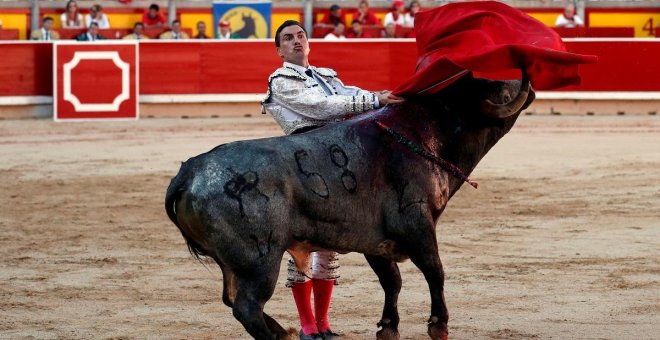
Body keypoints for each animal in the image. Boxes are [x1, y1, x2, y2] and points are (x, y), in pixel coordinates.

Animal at [166, 72, 536, 340]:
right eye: (499, 90)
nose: (528, 85)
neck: (425, 133)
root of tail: (190, 170)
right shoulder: (416, 223)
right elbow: (435, 270)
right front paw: (438, 324)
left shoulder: (375, 241)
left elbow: (392, 281)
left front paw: (387, 327)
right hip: (260, 259)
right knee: (246, 305)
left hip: (233, 262)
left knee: (233, 299)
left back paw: (284, 331)